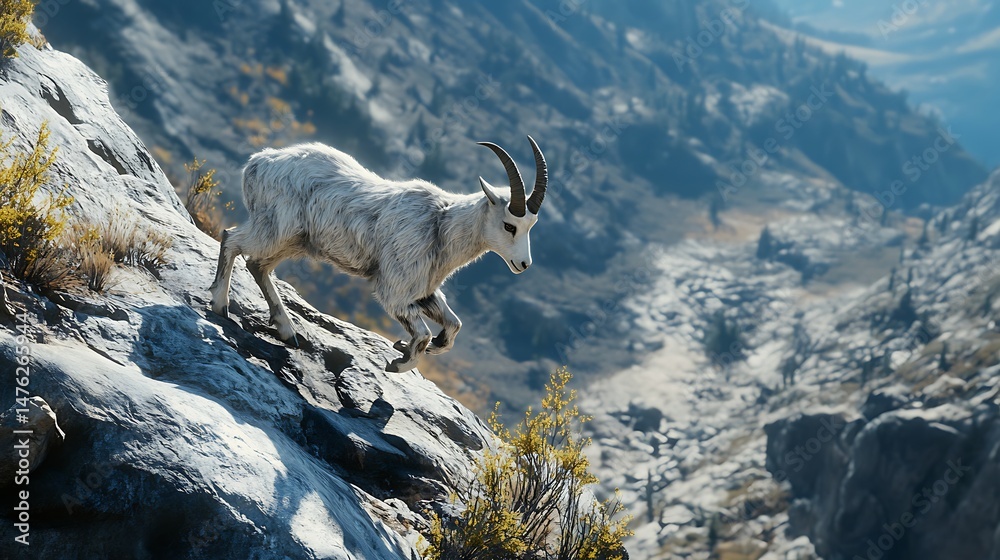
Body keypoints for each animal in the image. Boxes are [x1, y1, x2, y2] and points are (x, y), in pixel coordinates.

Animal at [209, 137, 548, 372]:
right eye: (509, 225)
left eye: (532, 225)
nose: (523, 264)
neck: (441, 225)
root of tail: (257, 163)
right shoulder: (395, 291)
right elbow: (422, 335)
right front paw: (398, 361)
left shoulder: (423, 292)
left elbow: (454, 326)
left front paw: (426, 346)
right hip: (276, 228)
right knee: (232, 239)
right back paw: (220, 306)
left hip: (292, 240)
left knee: (258, 265)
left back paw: (286, 330)